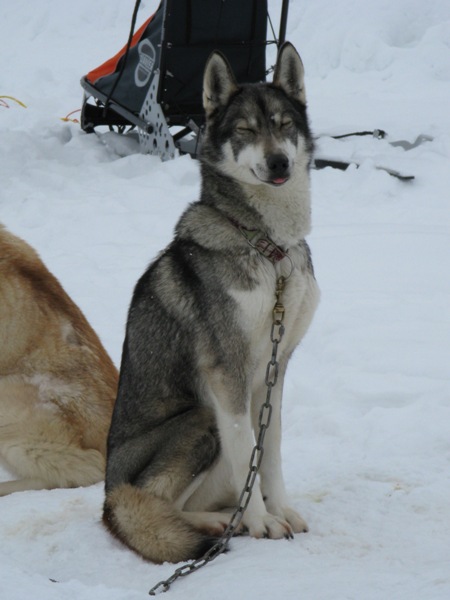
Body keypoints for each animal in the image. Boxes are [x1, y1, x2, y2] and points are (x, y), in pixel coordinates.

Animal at [103, 42, 318, 564]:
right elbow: (246, 452)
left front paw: (281, 509)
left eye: (284, 124)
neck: (271, 249)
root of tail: (107, 496)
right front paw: (262, 522)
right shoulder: (227, 373)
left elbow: (269, 450)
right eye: (245, 130)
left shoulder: (276, 369)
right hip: (200, 419)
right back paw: (224, 524)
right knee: (153, 505)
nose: (279, 163)